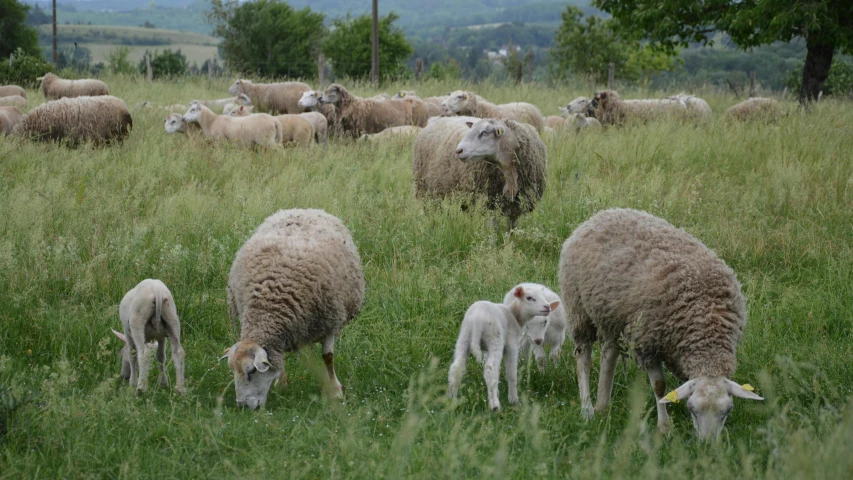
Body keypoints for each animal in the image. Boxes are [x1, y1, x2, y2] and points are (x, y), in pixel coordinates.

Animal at [223, 210, 362, 408]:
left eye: (251, 371)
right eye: (232, 370)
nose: (243, 406)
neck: (269, 308)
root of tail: (305, 209)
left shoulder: (331, 320)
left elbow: (328, 357)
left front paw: (335, 391)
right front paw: (281, 384)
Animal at [556, 208, 764, 440]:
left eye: (727, 410)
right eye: (692, 409)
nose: (707, 444)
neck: (706, 325)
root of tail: (604, 213)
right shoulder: (647, 343)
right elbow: (659, 386)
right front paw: (664, 427)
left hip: (612, 315)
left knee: (609, 354)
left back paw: (603, 405)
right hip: (578, 308)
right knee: (583, 358)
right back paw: (587, 409)